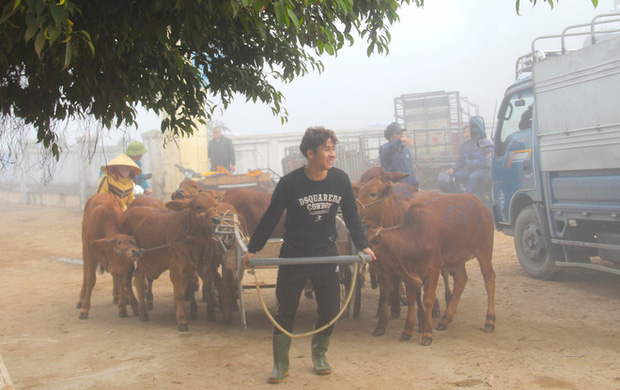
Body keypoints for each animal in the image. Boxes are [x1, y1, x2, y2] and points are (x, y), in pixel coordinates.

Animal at [118, 190, 220, 330]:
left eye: (215, 204)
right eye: (198, 206)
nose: (216, 219)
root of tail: (127, 212)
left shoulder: (197, 265)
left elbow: (202, 287)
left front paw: (207, 313)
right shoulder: (176, 266)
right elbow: (179, 293)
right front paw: (182, 321)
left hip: (144, 259)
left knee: (137, 277)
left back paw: (143, 312)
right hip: (127, 259)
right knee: (123, 280)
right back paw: (124, 308)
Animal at [368, 193, 494, 346]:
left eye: (371, 244)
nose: (370, 270)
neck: (414, 236)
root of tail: (482, 206)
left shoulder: (434, 269)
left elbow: (428, 300)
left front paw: (427, 333)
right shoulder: (409, 273)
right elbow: (411, 299)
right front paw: (407, 331)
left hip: (484, 251)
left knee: (489, 279)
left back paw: (490, 320)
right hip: (457, 258)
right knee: (461, 281)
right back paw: (445, 320)